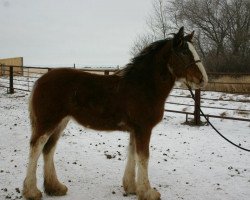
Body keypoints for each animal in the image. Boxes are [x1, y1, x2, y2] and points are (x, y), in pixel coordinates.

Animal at [23, 27, 207, 200]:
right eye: (184, 52)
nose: (203, 79)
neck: (143, 87)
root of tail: (39, 81)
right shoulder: (143, 129)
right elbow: (144, 157)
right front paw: (148, 192)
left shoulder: (135, 129)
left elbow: (132, 154)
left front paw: (131, 187)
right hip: (48, 122)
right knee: (36, 147)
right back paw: (32, 191)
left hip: (61, 122)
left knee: (49, 149)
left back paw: (55, 188)